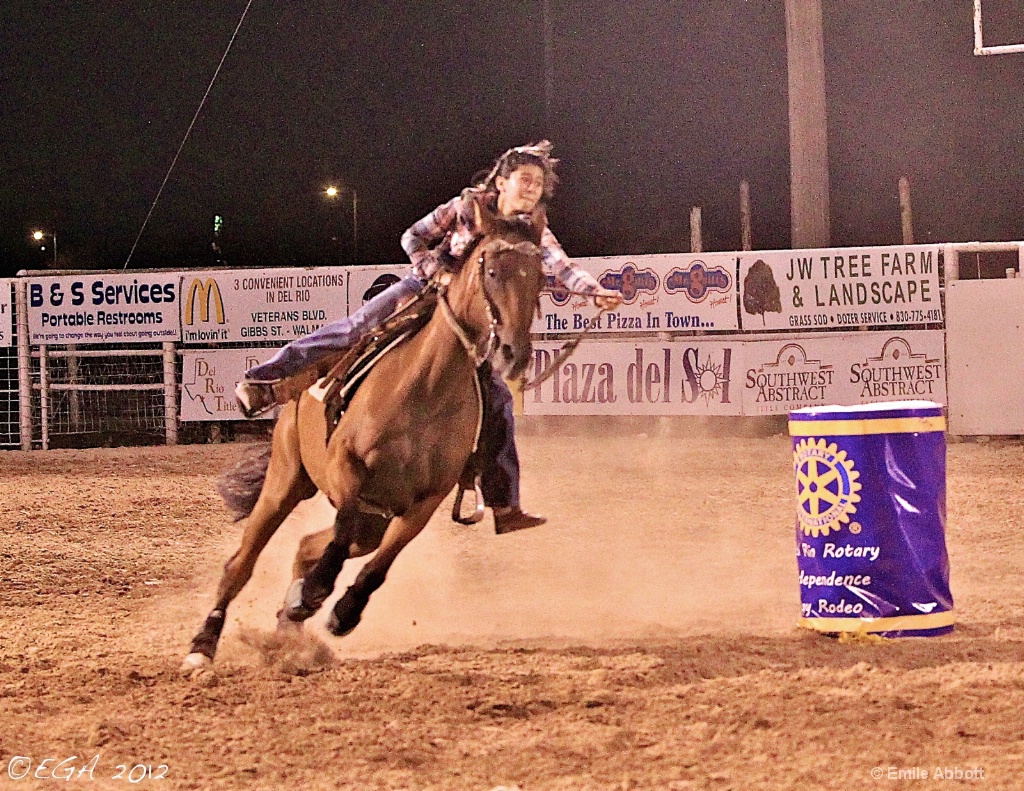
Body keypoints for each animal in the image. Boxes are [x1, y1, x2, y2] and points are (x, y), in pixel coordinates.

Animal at [180, 202, 548, 672]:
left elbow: (381, 563)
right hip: (285, 480)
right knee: (241, 564)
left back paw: (290, 628)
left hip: (375, 519)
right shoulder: (346, 466)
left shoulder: (425, 501)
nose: (512, 353)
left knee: (309, 546)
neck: (426, 389)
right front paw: (315, 592)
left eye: (539, 278)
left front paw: (342, 611)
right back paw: (203, 646)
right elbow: (340, 532)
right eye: (494, 272)